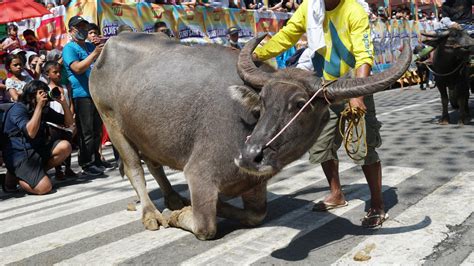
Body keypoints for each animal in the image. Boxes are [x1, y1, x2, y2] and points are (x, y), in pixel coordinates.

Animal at [90, 32, 412, 239]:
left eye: (300, 104)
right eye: (264, 101)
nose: (249, 156)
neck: (246, 126)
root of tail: (108, 45)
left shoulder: (254, 183)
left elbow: (257, 215)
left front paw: (205, 206)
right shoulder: (199, 174)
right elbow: (206, 227)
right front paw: (180, 215)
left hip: (144, 130)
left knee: (155, 164)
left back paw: (172, 198)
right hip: (111, 123)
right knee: (135, 167)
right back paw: (152, 214)